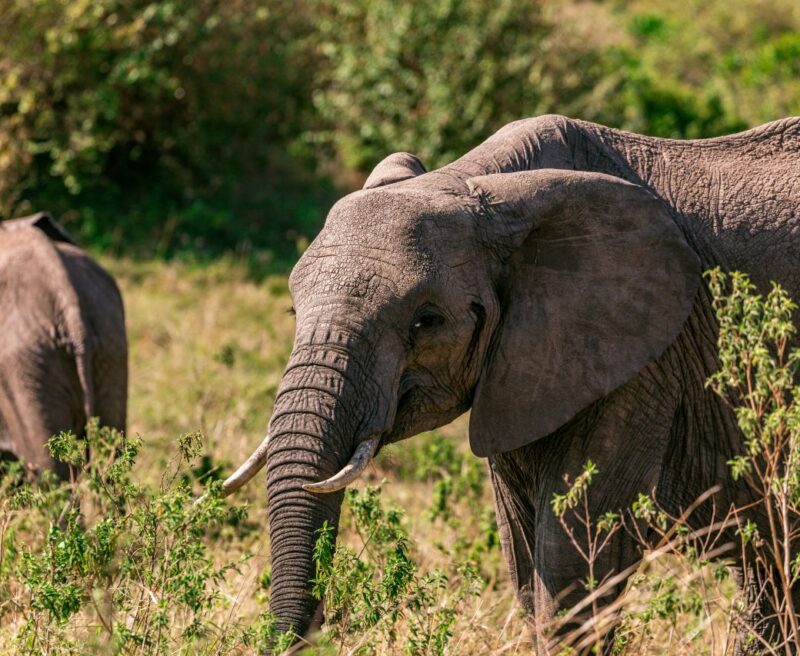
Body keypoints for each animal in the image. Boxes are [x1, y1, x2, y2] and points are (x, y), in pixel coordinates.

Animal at [220, 114, 800, 649]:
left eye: (425, 322)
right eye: (293, 311)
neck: (483, 186)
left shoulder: (640, 360)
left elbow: (571, 555)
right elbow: (522, 553)